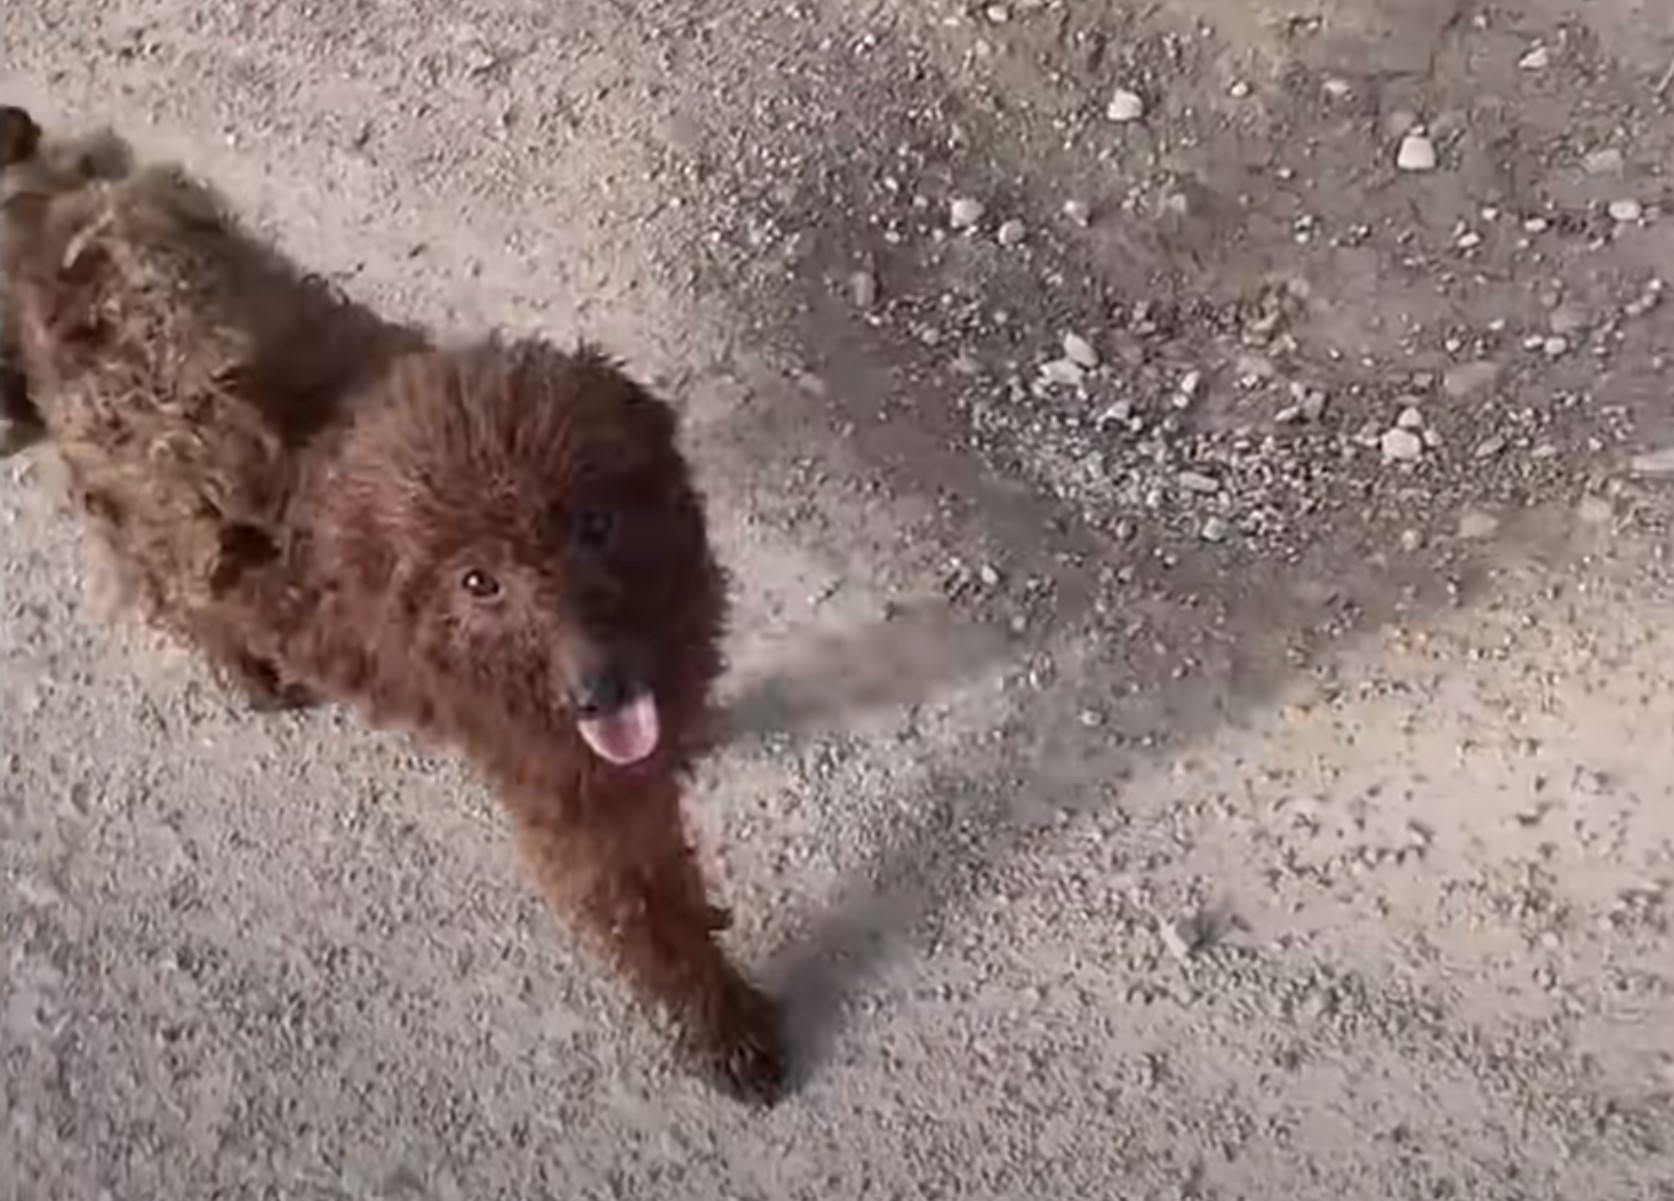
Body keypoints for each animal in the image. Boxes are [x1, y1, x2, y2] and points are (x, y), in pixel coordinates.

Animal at [0, 108, 786, 1098]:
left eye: (596, 522)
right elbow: (651, 919)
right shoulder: (572, 805)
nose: (600, 692)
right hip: (148, 532)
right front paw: (727, 1031)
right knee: (176, 597)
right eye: (478, 582)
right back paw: (252, 673)